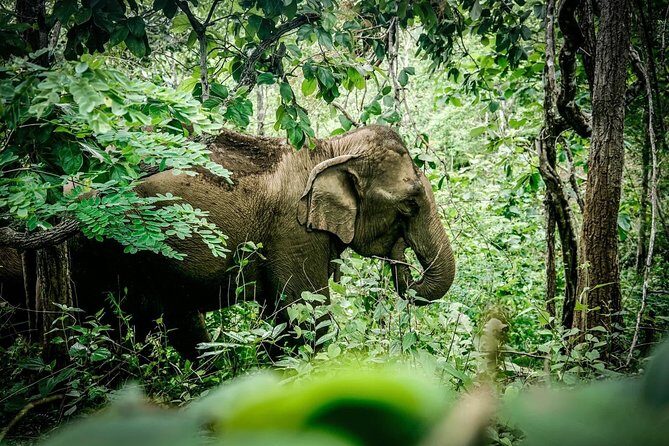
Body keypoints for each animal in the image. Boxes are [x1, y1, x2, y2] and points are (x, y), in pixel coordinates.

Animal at [0, 125, 455, 358]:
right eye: (411, 203)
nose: (403, 266)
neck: (331, 147)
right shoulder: (292, 231)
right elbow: (305, 316)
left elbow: (279, 317)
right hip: (107, 249)